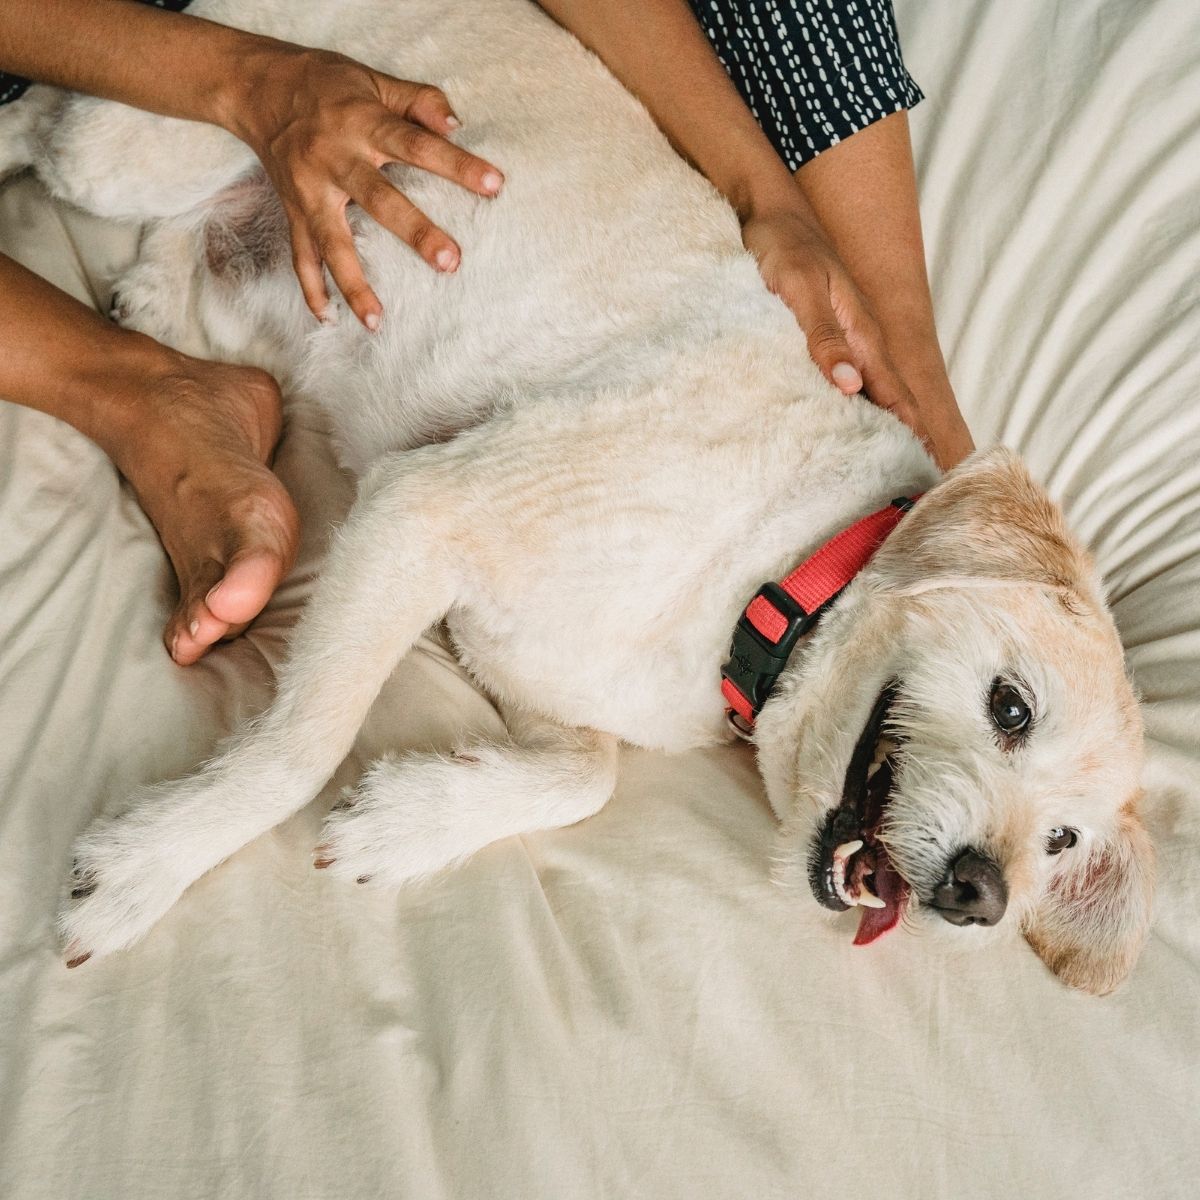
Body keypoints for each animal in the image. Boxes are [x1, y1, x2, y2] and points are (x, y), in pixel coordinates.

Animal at [4, 0, 1156, 993]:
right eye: (1010, 707)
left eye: (1063, 841)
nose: (981, 895)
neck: (776, 576)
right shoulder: (424, 509)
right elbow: (298, 749)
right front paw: (151, 863)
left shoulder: (515, 655)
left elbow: (583, 775)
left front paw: (403, 823)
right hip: (128, 146)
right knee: (35, 123)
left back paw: (159, 302)